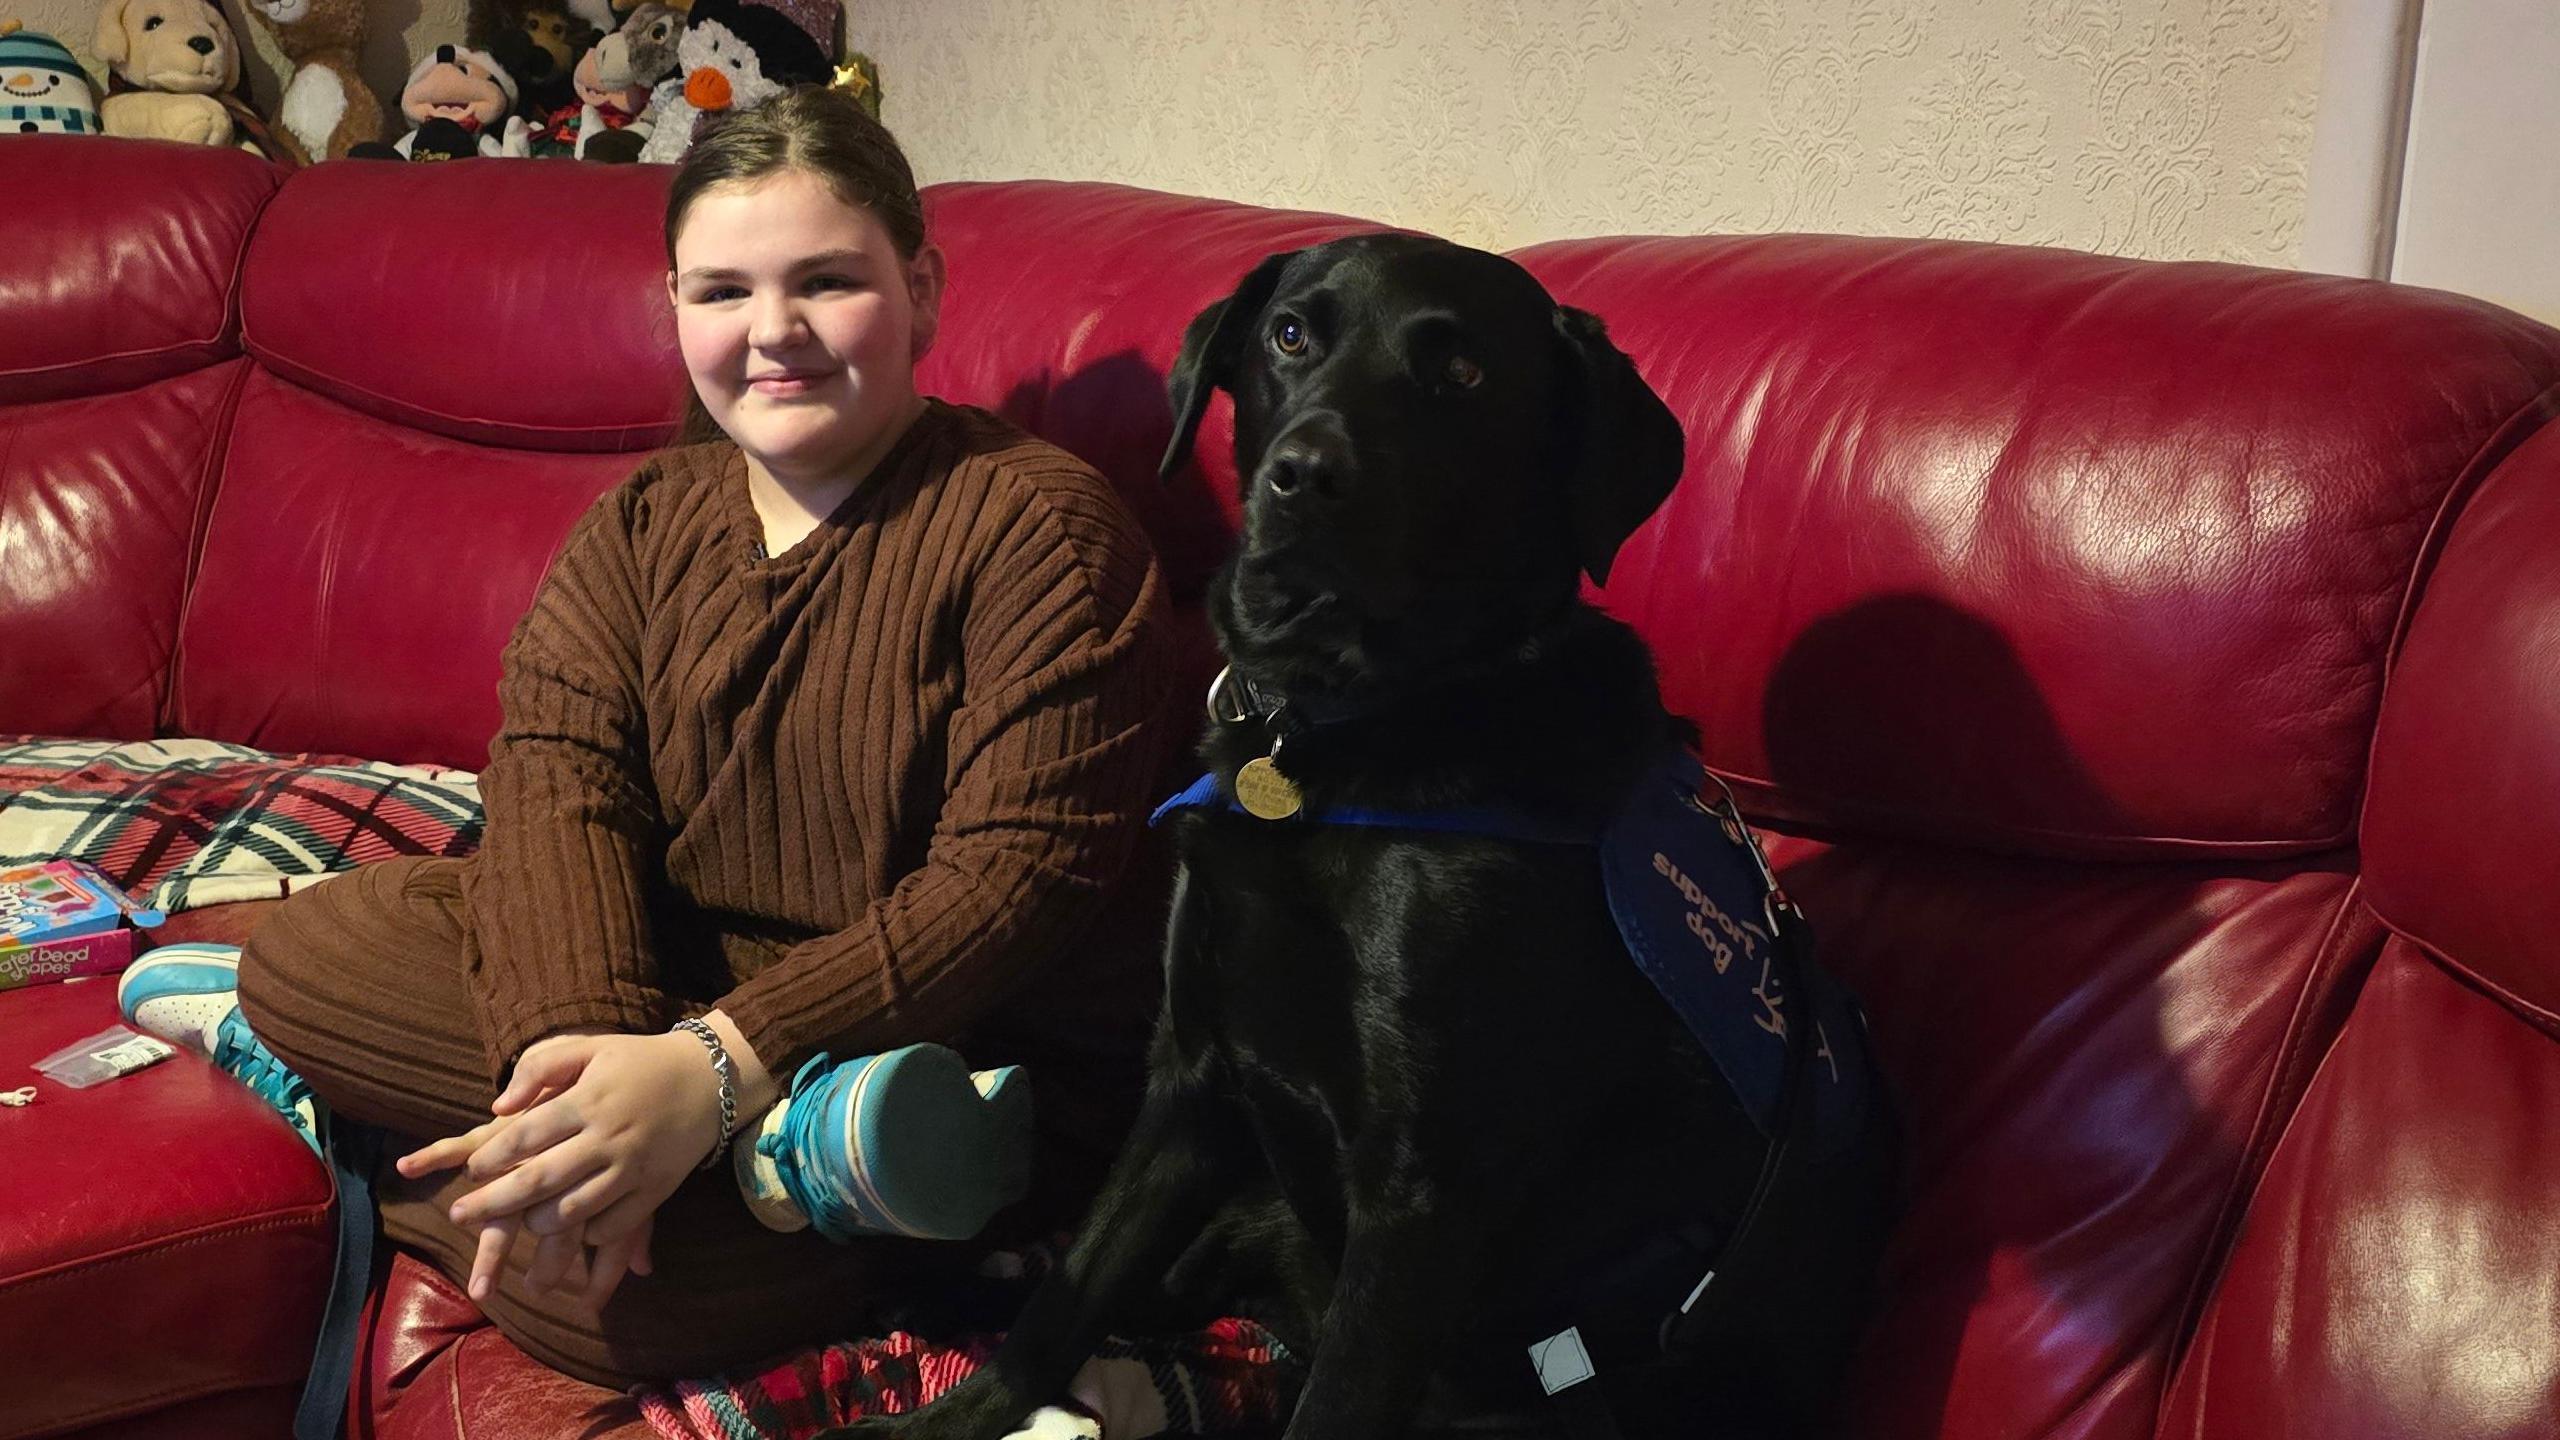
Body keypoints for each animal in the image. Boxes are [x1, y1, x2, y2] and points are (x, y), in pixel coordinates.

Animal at [829, 233, 1894, 1434]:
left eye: (1464, 375)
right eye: (1292, 334)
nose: (1305, 476)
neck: (1341, 730)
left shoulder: (1419, 1191)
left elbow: (1326, 1398)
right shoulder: (1191, 1081)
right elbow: (1066, 1296)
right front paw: (950, 1416)